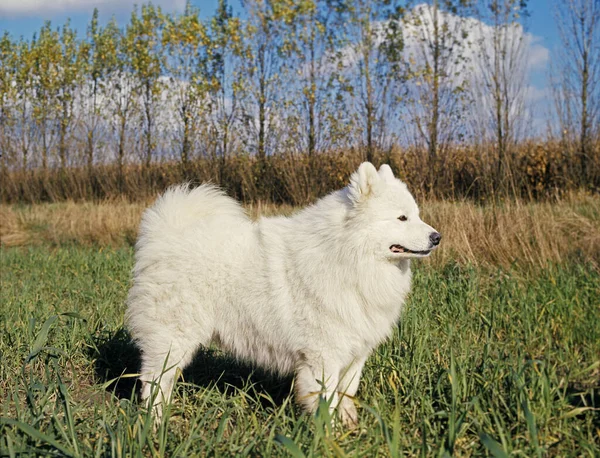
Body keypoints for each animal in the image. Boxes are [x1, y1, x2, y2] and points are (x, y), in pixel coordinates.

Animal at [126, 163, 440, 428]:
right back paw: (155, 422)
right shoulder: (322, 354)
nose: (437, 237)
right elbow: (326, 398)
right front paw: (329, 435)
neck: (347, 256)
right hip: (173, 336)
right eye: (402, 218)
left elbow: (347, 392)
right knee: (153, 381)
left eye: (416, 215)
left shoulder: (356, 352)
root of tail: (166, 233)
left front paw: (349, 426)